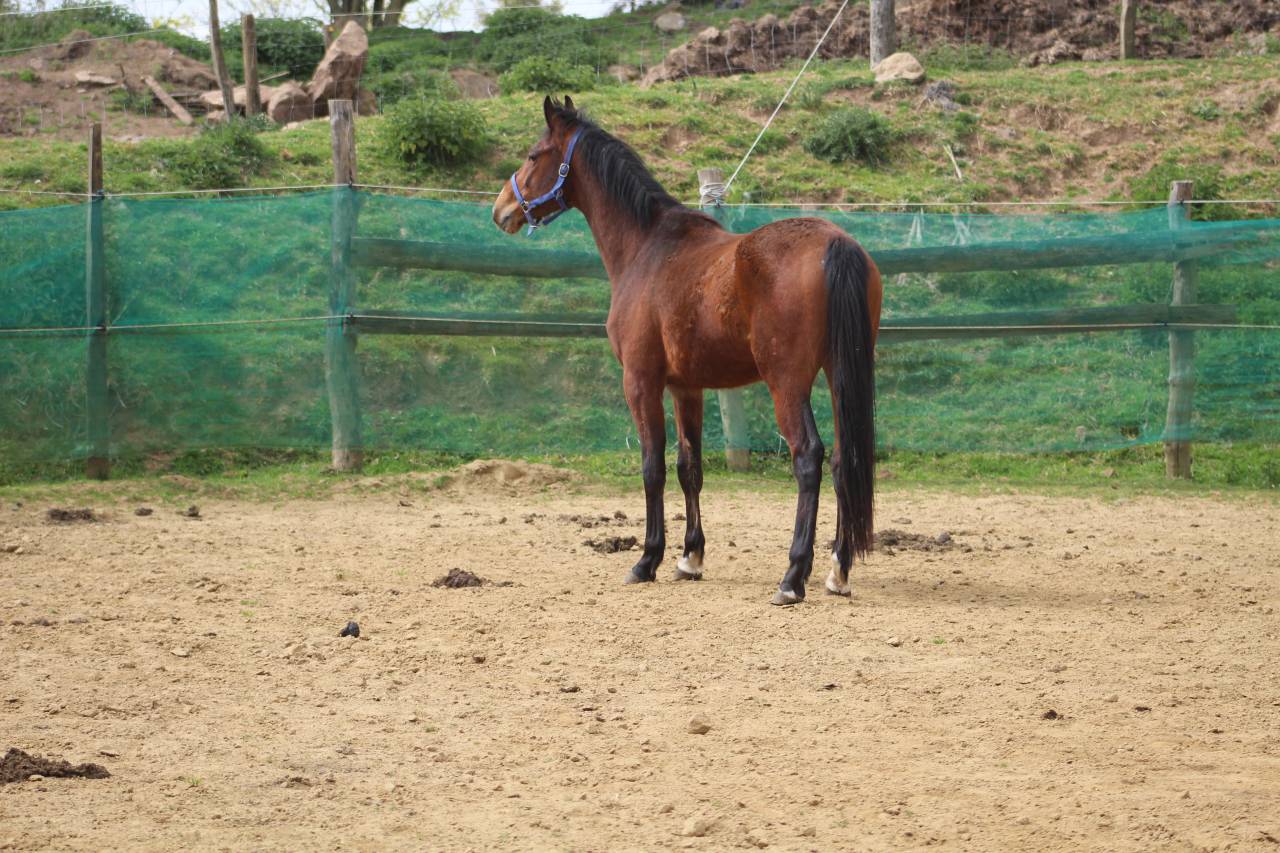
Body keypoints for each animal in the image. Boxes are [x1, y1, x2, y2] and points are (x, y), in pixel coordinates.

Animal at [492, 96, 882, 605]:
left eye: (534, 155)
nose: (501, 209)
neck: (647, 247)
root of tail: (835, 243)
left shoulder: (641, 382)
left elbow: (652, 467)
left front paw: (647, 559)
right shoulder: (686, 388)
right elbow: (688, 467)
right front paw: (689, 557)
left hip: (787, 383)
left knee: (808, 458)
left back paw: (793, 576)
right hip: (839, 375)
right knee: (842, 460)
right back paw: (837, 570)